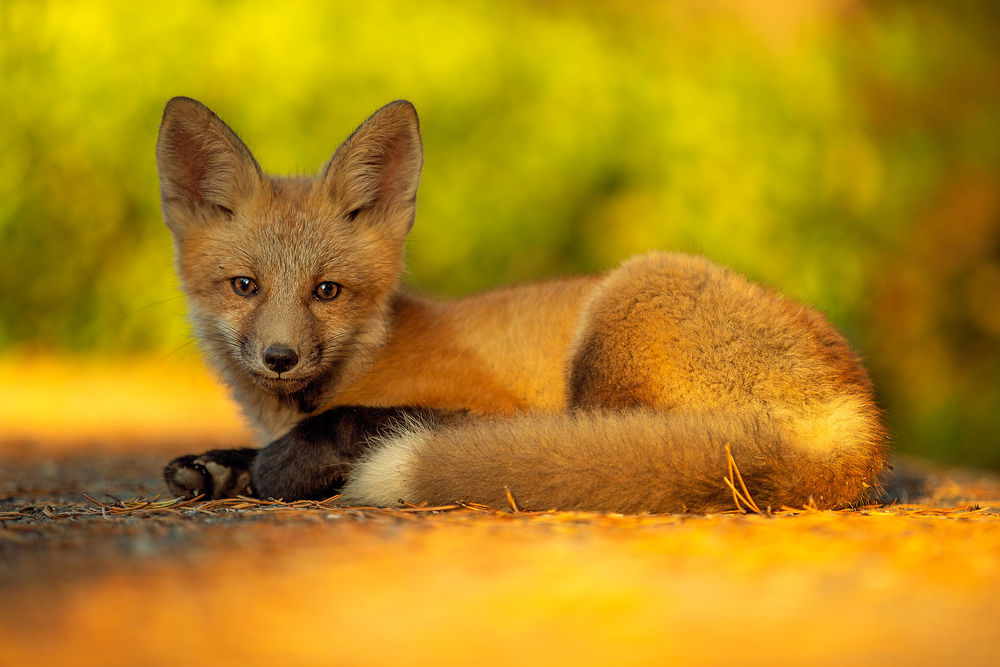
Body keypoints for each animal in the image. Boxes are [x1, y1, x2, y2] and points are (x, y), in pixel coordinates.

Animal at [157, 97, 888, 513]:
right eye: (244, 285)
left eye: (326, 291)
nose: (280, 357)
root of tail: (863, 421)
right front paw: (221, 465)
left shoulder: (481, 405)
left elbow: (352, 422)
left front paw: (280, 466)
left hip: (622, 308)